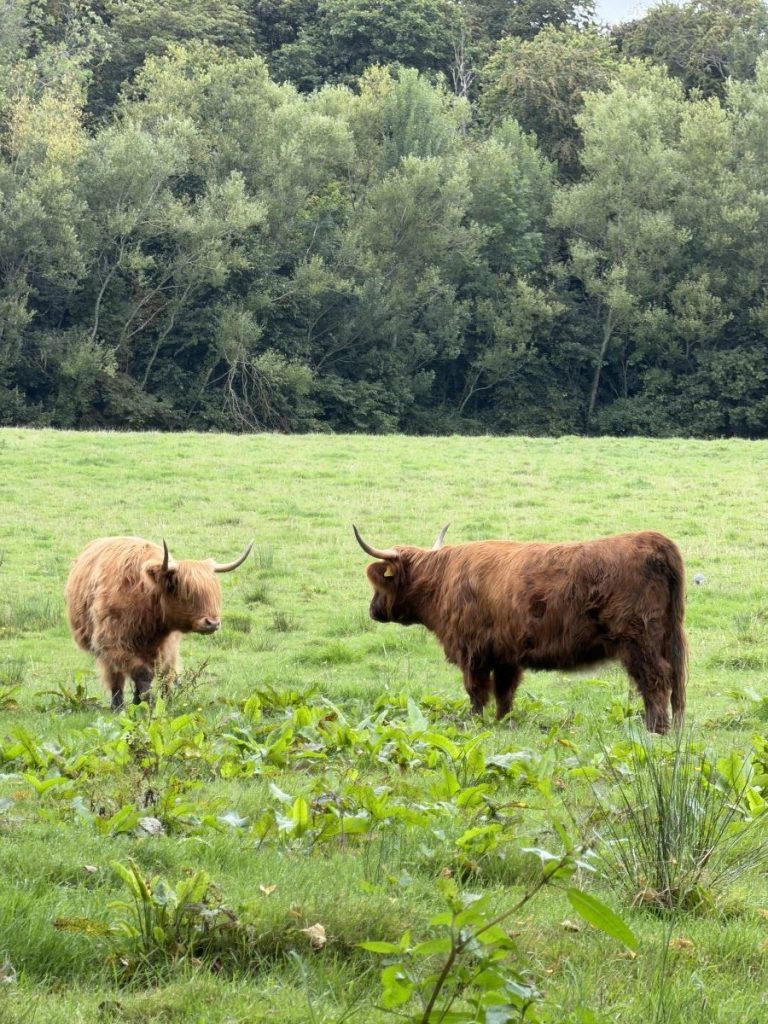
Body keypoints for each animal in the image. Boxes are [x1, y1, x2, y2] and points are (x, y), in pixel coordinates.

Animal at [66, 536, 253, 709]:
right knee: (116, 678)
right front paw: (147, 704)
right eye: (186, 592)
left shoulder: (167, 647)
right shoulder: (112, 643)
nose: (212, 623)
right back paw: (118, 707)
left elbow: (164, 675)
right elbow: (141, 674)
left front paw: (156, 703)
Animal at [354, 525, 687, 734]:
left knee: (655, 679)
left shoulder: (472, 651)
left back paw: (655, 730)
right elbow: (505, 692)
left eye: (380, 584)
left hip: (639, 640)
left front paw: (475, 723)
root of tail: (653, 540)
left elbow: (476, 692)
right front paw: (504, 722)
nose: (372, 610)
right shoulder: (505, 655)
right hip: (666, 636)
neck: (441, 582)